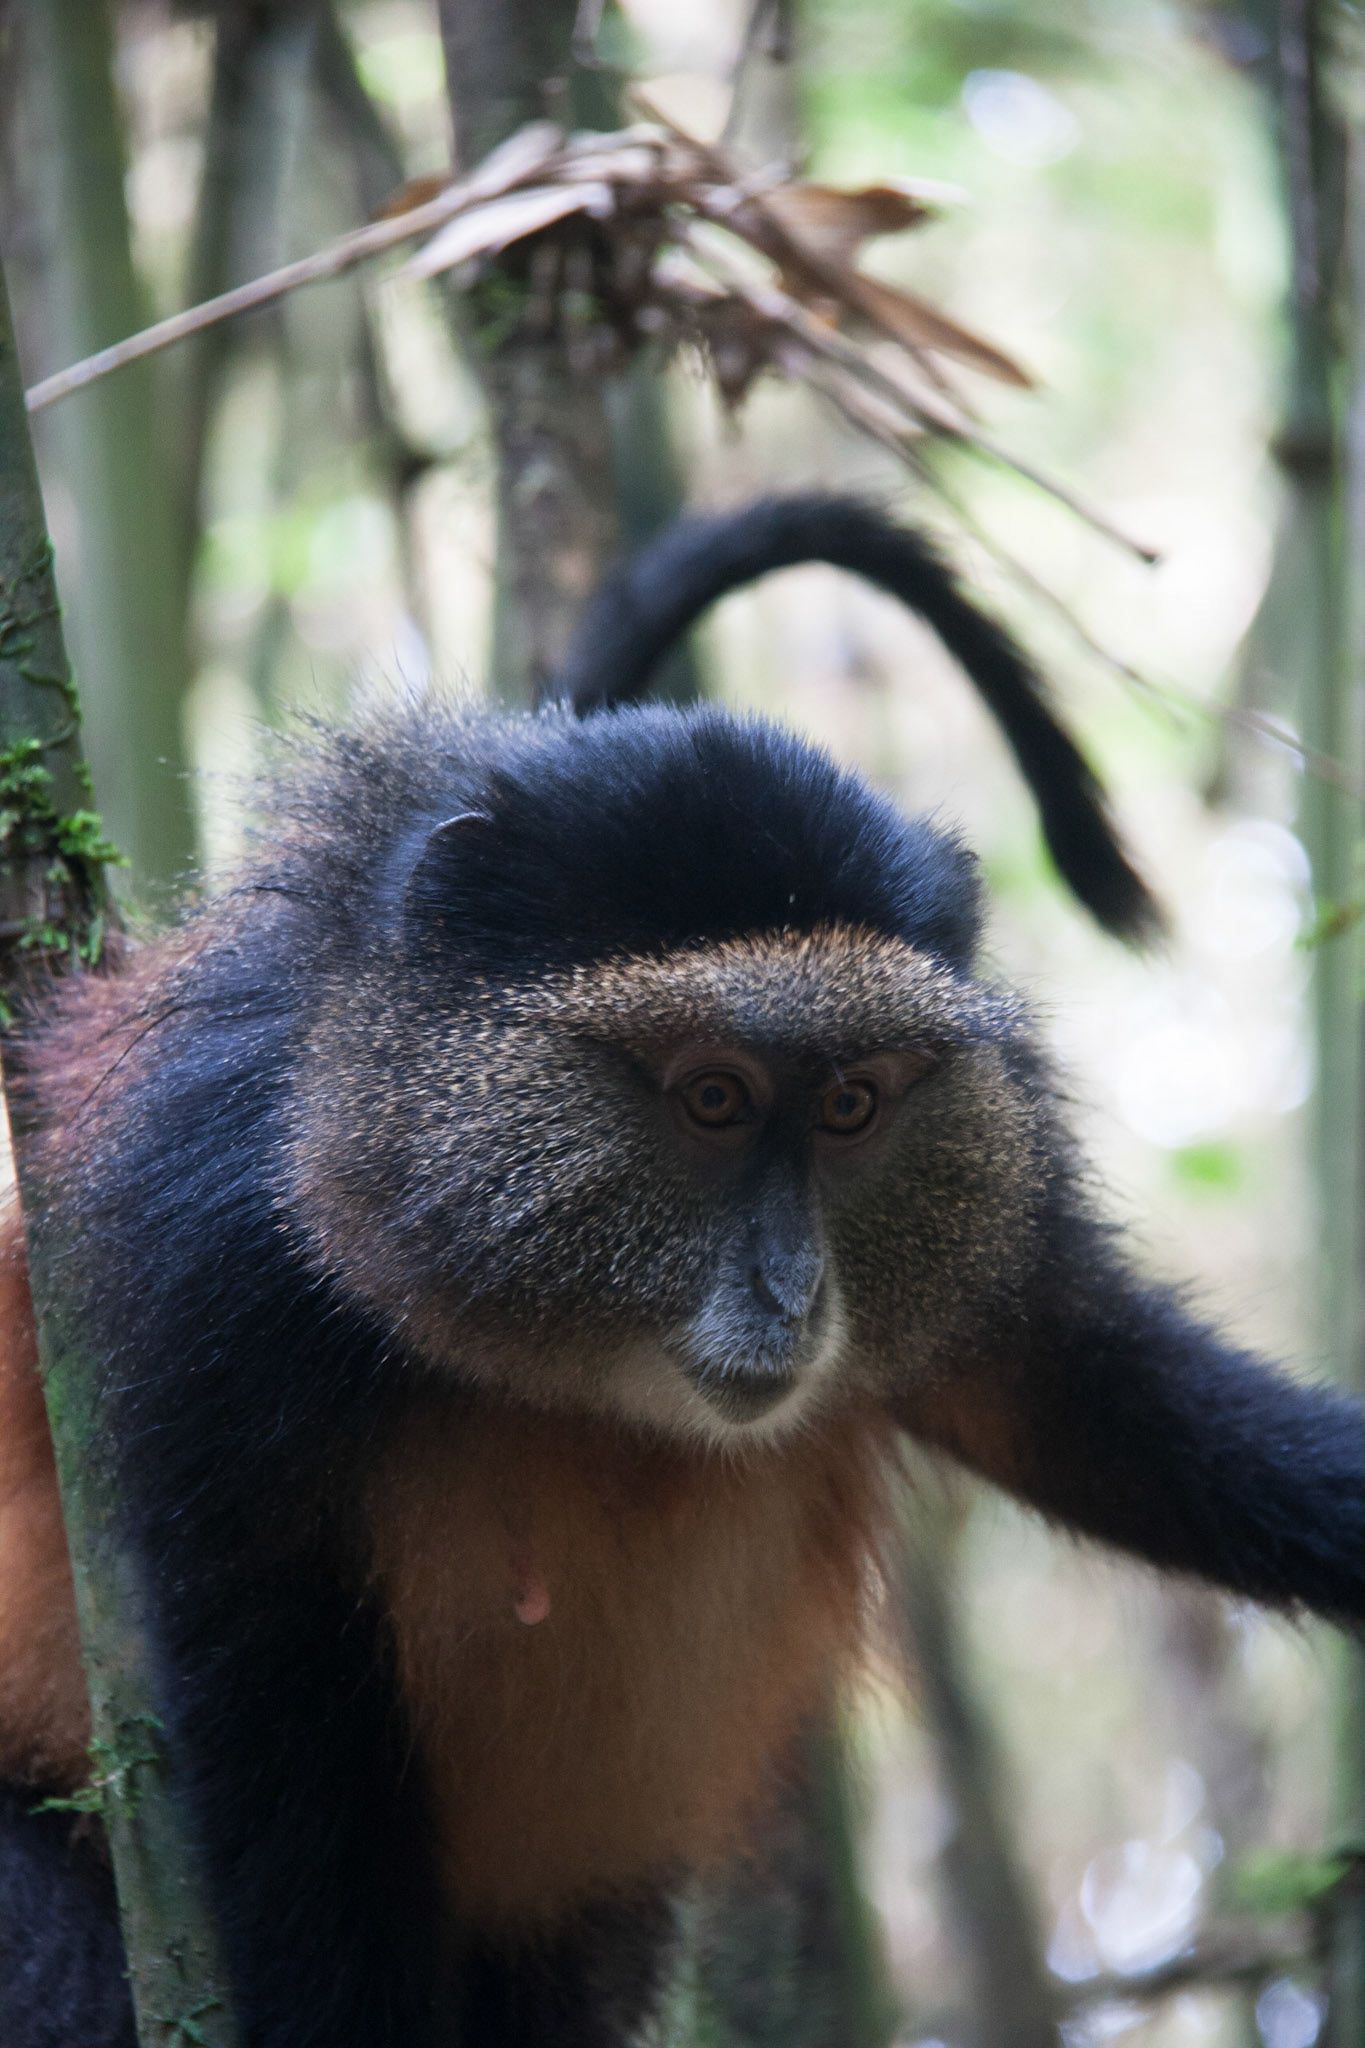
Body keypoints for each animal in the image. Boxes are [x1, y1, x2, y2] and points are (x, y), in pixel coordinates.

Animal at [0, 495, 1358, 2048]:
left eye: (851, 1106)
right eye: (713, 1098)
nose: (793, 1290)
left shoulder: (994, 1233)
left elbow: (1109, 1422)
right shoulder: (217, 1269)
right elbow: (265, 1714)